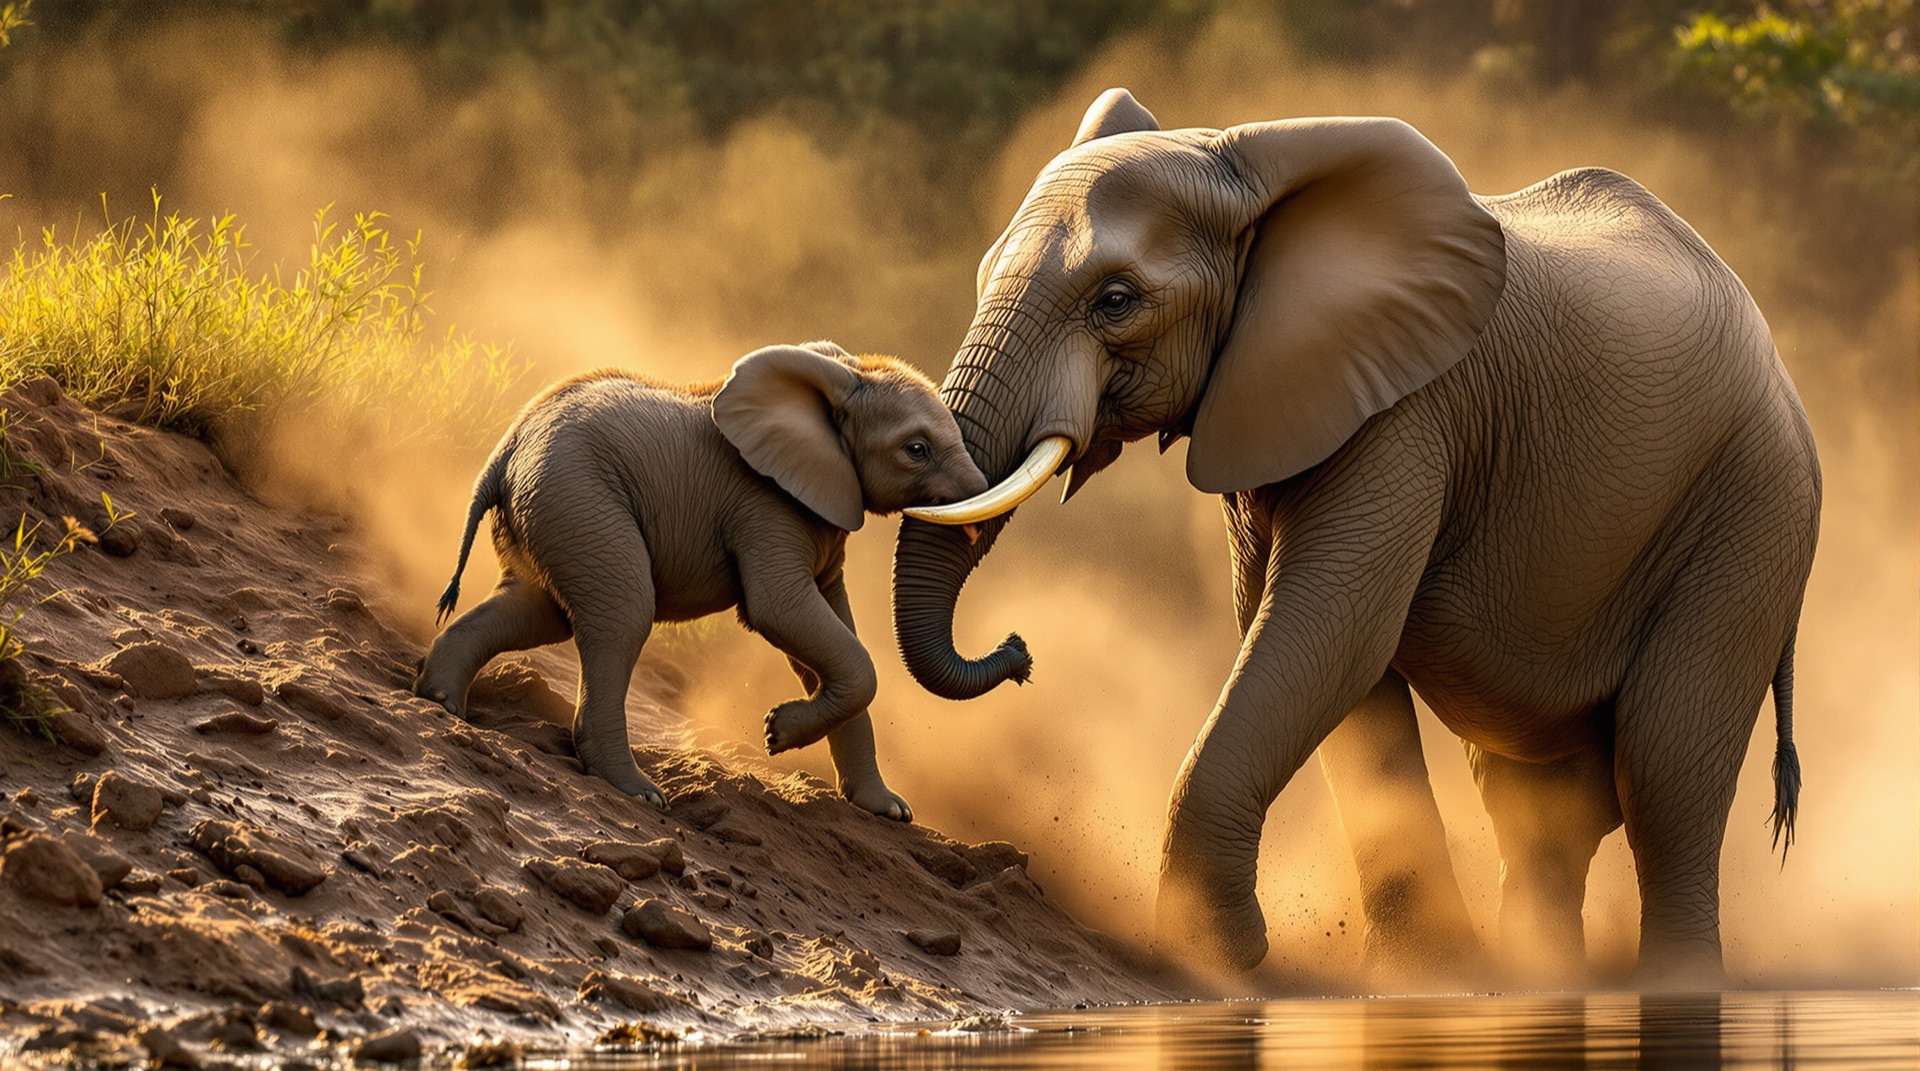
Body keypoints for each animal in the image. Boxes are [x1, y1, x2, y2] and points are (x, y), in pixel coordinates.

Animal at [416, 341, 987, 819]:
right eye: (916, 449)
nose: (770, 732)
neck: (843, 375)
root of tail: (504, 452)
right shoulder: (766, 506)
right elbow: (779, 611)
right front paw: (777, 732)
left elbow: (834, 626)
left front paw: (888, 811)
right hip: (577, 497)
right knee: (622, 612)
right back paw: (639, 793)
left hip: (552, 511)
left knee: (537, 608)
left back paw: (441, 700)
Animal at [890, 89, 1818, 987]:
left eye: (1115, 300)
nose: (1019, 652)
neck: (1238, 161)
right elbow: (1327, 657)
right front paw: (1425, 977)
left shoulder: (1405, 412)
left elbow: (1329, 630)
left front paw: (1213, 957)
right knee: (1536, 802)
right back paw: (1536, 977)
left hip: (1753, 509)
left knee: (1663, 764)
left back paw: (1674, 982)